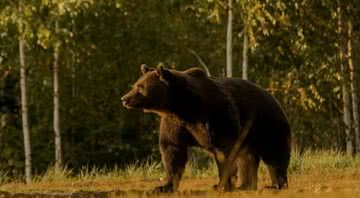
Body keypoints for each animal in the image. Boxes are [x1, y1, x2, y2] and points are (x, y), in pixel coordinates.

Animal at [122, 64, 292, 192]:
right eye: (135, 85)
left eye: (140, 87)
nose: (124, 98)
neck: (182, 106)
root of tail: (271, 95)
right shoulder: (175, 123)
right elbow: (172, 150)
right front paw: (163, 187)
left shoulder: (215, 113)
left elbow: (224, 149)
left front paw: (221, 185)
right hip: (248, 134)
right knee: (247, 157)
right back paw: (246, 185)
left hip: (265, 121)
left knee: (274, 151)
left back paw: (276, 184)